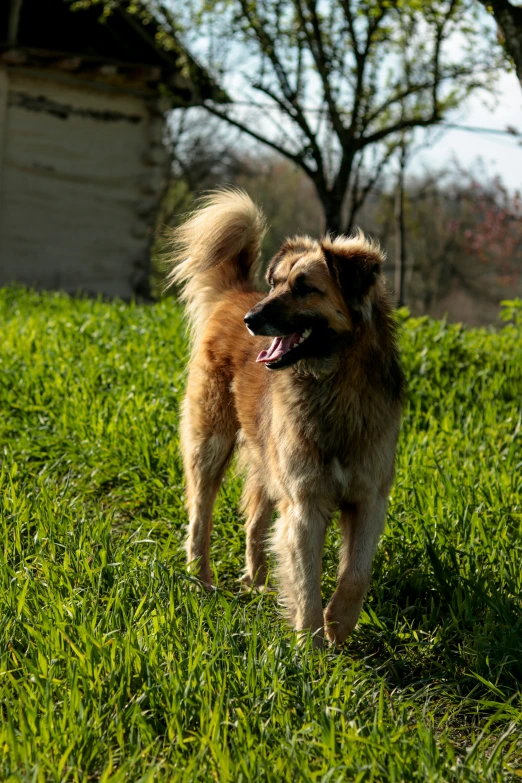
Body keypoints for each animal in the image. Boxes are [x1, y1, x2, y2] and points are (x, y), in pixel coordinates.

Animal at [169, 190, 404, 648]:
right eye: (276, 283)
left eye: (305, 288)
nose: (252, 320)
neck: (334, 386)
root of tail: (236, 296)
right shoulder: (305, 502)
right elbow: (306, 579)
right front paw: (311, 647)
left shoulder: (370, 497)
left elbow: (356, 574)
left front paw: (338, 626)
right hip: (209, 446)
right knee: (200, 517)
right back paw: (200, 581)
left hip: (266, 460)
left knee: (254, 524)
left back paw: (257, 584)